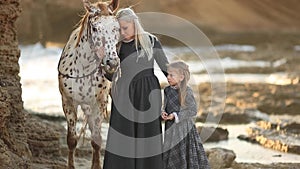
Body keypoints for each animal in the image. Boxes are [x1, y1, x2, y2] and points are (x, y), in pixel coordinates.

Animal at [57, 0, 119, 168]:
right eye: (96, 28)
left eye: (117, 27)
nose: (112, 63)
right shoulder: (68, 102)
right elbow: (71, 140)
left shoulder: (100, 103)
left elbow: (96, 140)